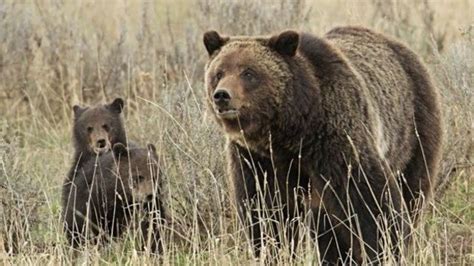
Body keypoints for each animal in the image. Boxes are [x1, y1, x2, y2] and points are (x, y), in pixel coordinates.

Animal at [204, 25, 444, 264]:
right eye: (219, 73)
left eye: (249, 73)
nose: (222, 95)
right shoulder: (256, 158)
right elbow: (266, 211)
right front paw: (272, 251)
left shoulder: (335, 140)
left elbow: (369, 199)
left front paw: (385, 249)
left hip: (413, 131)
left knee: (413, 191)